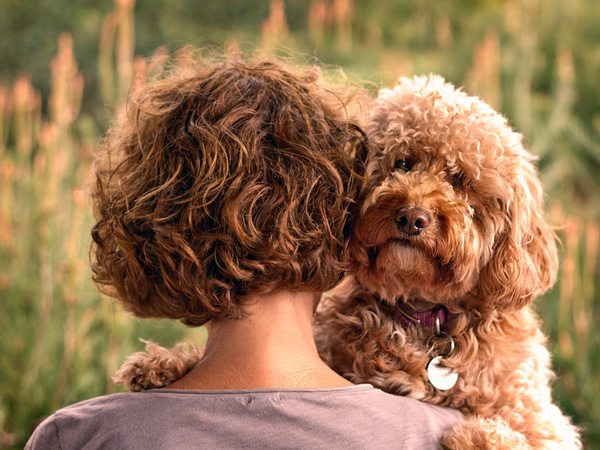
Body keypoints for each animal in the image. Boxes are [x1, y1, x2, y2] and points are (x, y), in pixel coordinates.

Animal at [314, 75, 580, 448]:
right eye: (402, 163)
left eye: (460, 180)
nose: (412, 218)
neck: (428, 318)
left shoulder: (538, 416)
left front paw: (476, 435)